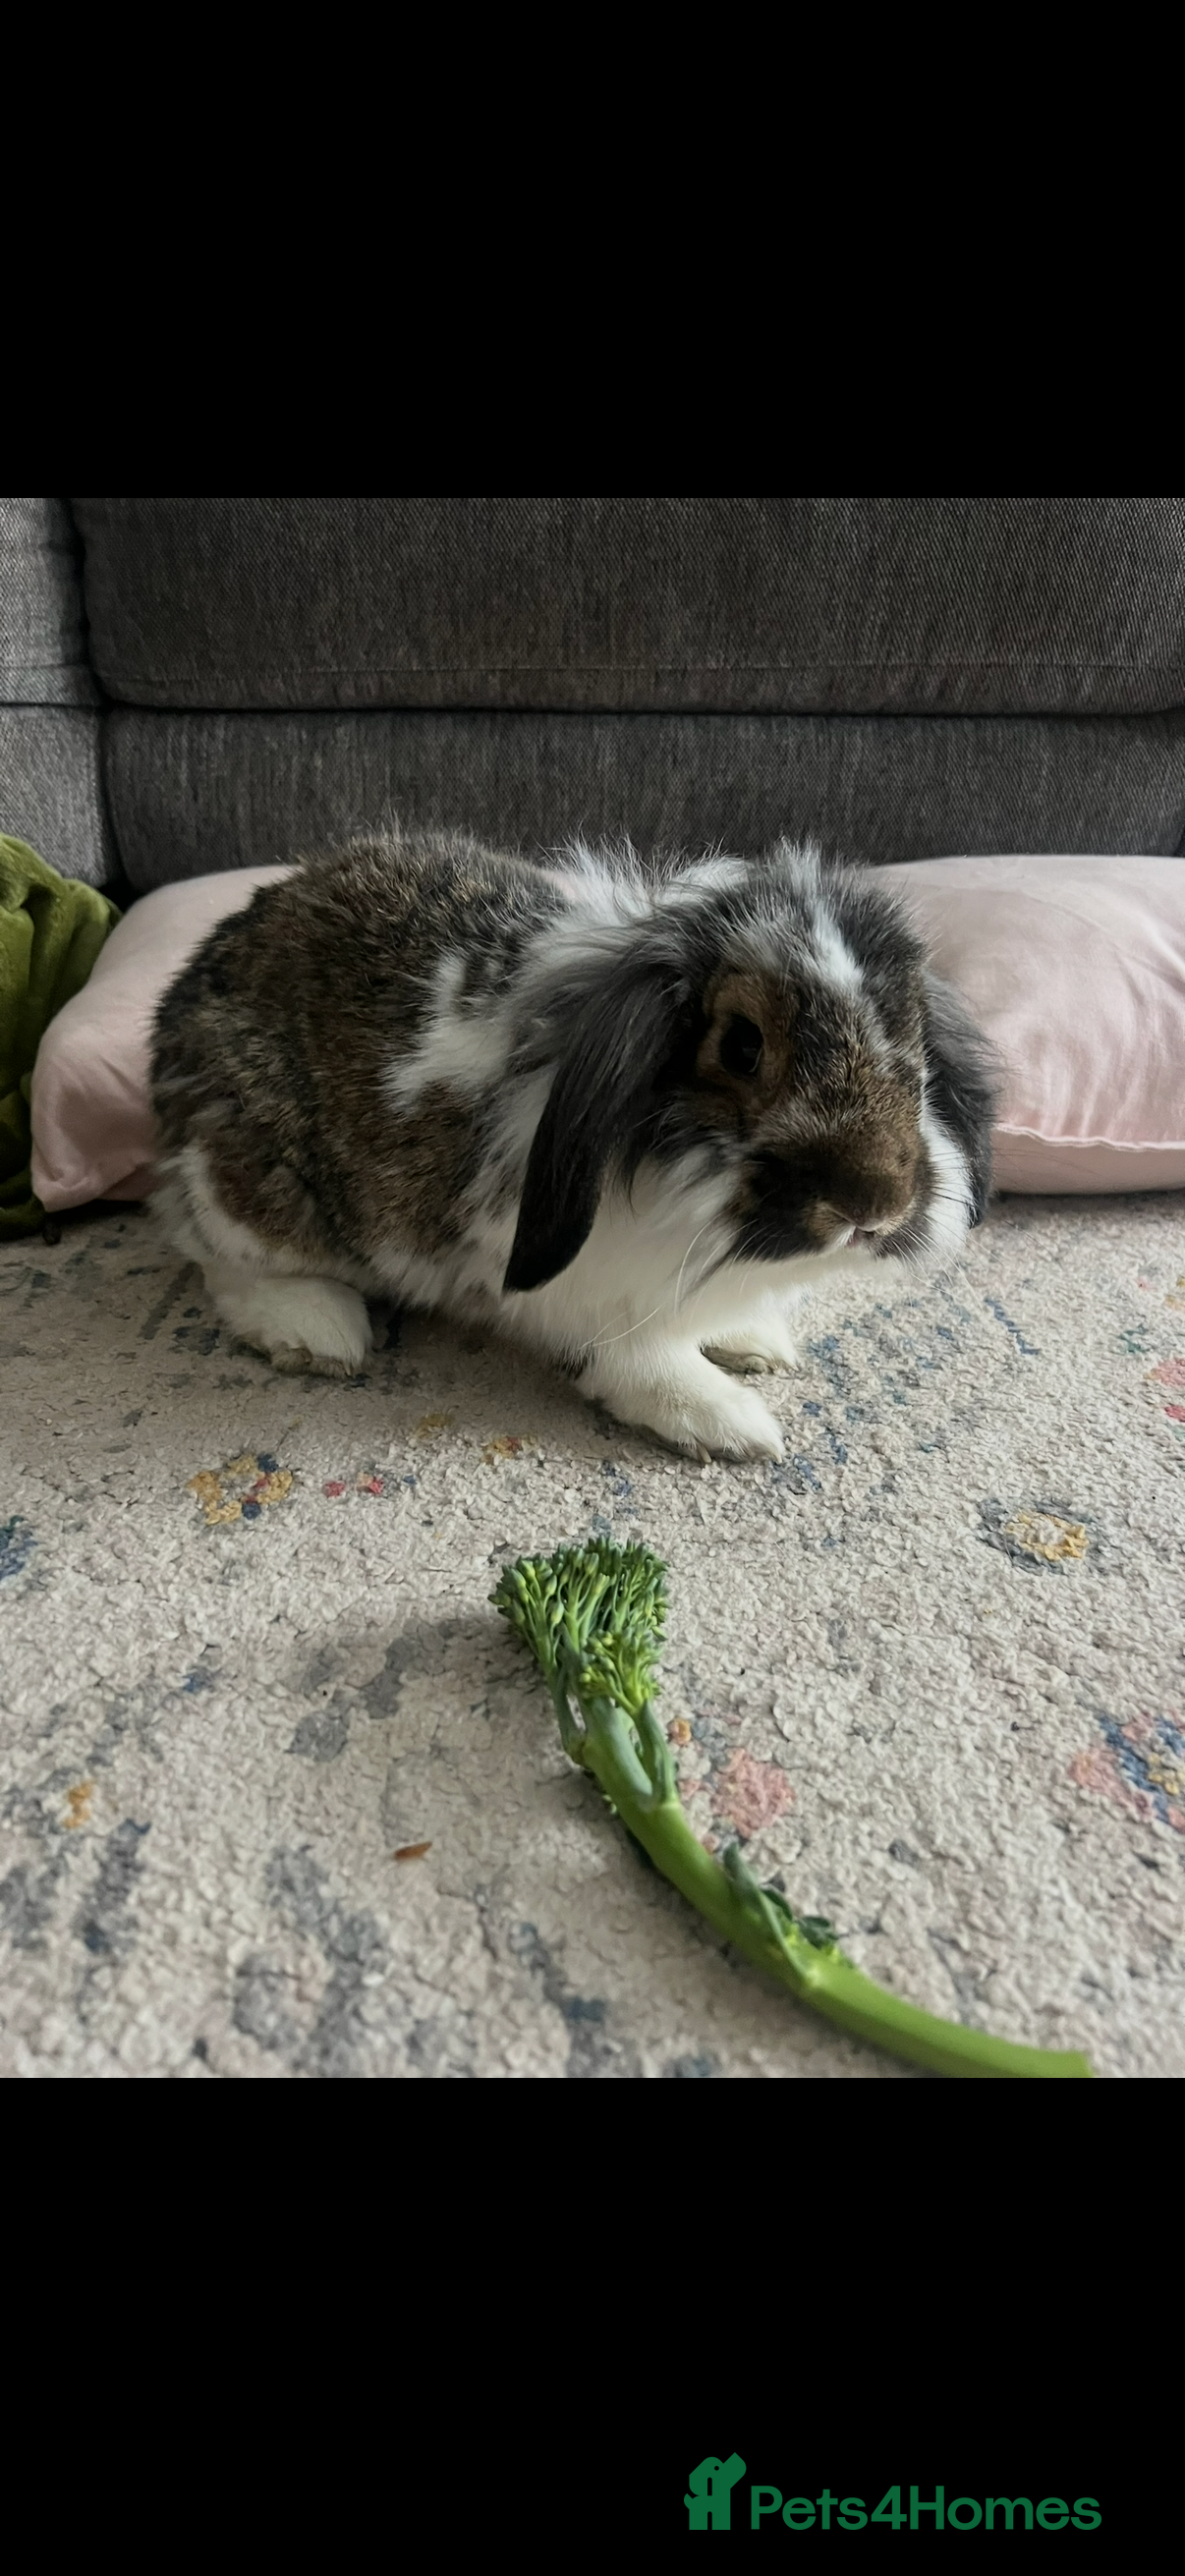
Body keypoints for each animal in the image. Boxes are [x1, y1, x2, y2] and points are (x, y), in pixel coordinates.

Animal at [150, 825, 996, 1462]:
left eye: (915, 1038)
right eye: (741, 1046)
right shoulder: (591, 1292)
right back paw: (318, 1332)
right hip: (252, 1184)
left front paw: (754, 1343)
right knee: (216, 1259)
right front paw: (729, 1424)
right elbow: (640, 1361)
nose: (874, 1206)